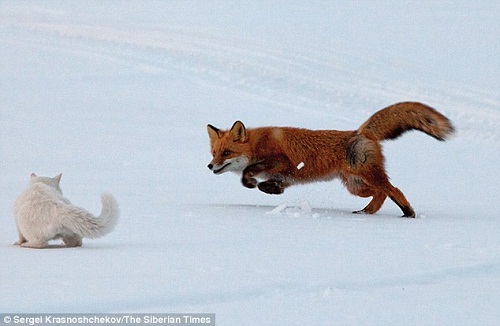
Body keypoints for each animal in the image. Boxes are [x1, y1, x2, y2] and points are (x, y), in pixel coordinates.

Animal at [205, 102, 456, 216]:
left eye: (226, 153)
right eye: (214, 152)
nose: (209, 166)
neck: (257, 143)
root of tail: (360, 132)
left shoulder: (283, 161)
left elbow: (248, 172)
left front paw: (251, 182)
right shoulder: (284, 176)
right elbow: (271, 184)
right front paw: (271, 189)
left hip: (367, 177)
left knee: (394, 189)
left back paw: (407, 212)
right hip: (356, 186)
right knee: (382, 193)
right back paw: (367, 212)